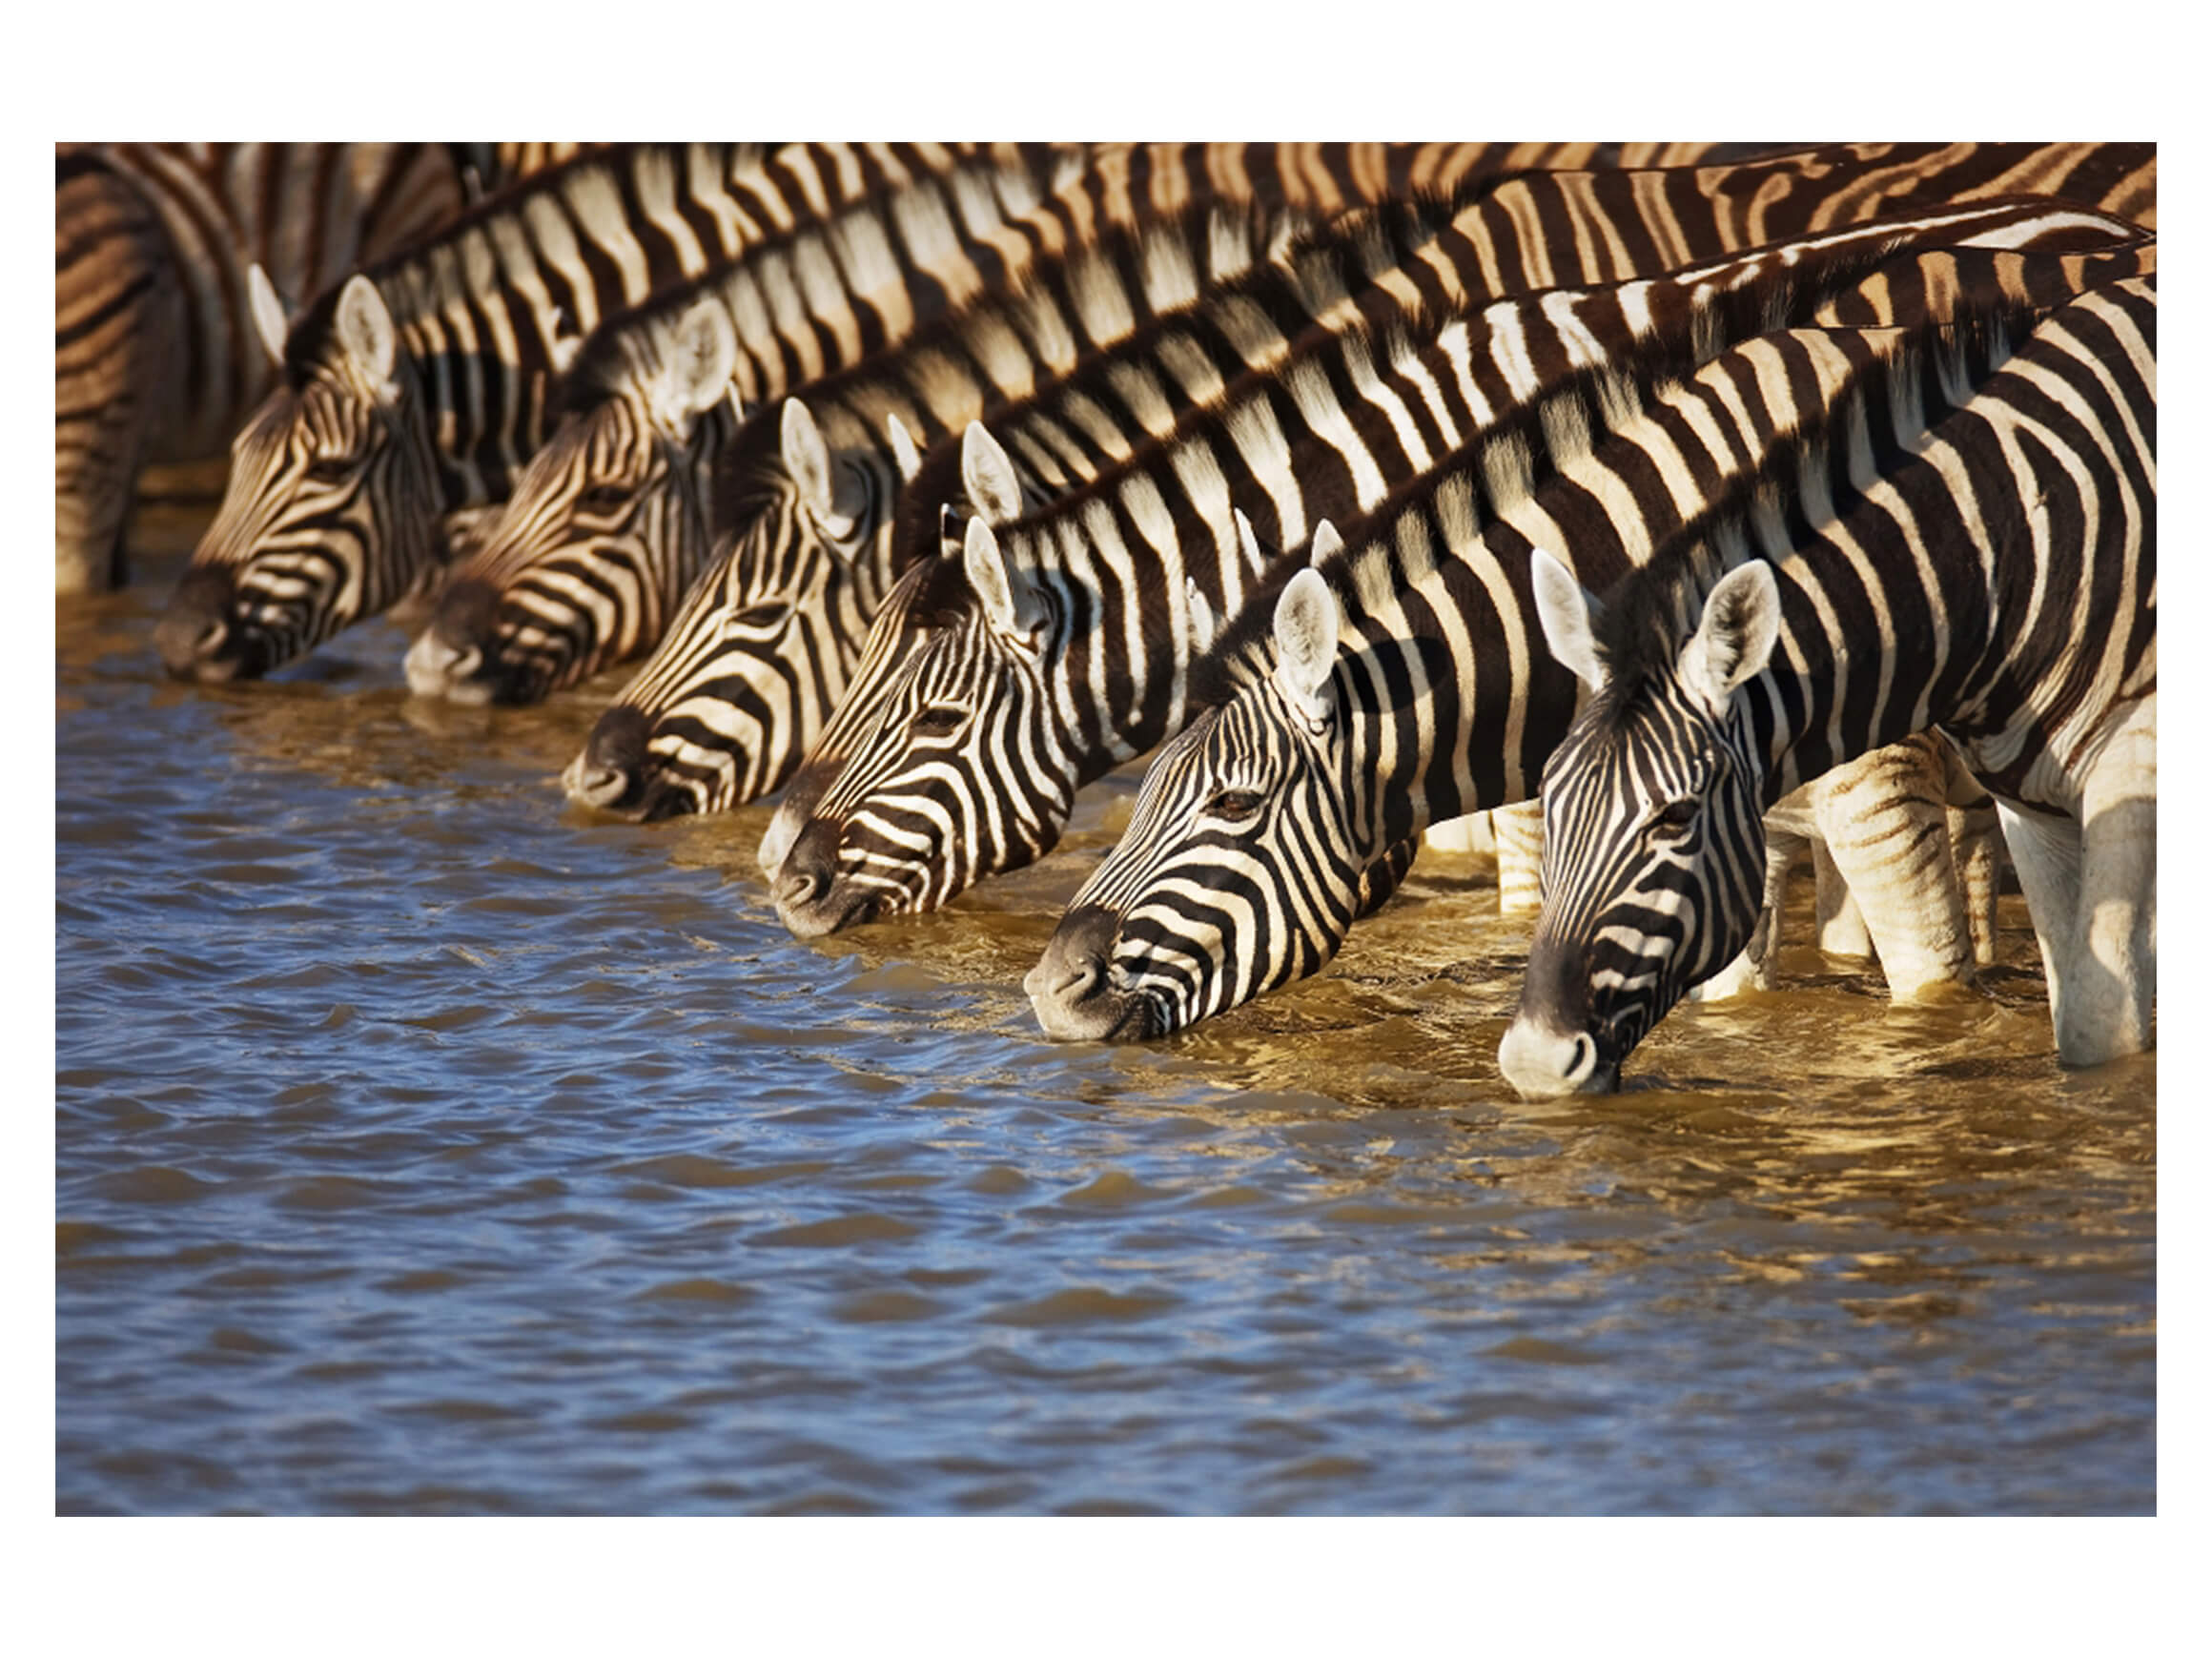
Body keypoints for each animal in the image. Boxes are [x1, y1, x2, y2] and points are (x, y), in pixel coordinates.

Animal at [1497, 276, 2154, 1093]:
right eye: (1550, 799)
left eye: (1676, 818)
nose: (1534, 1061)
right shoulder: (2030, 810)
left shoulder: (2122, 773)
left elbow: (2093, 1023)